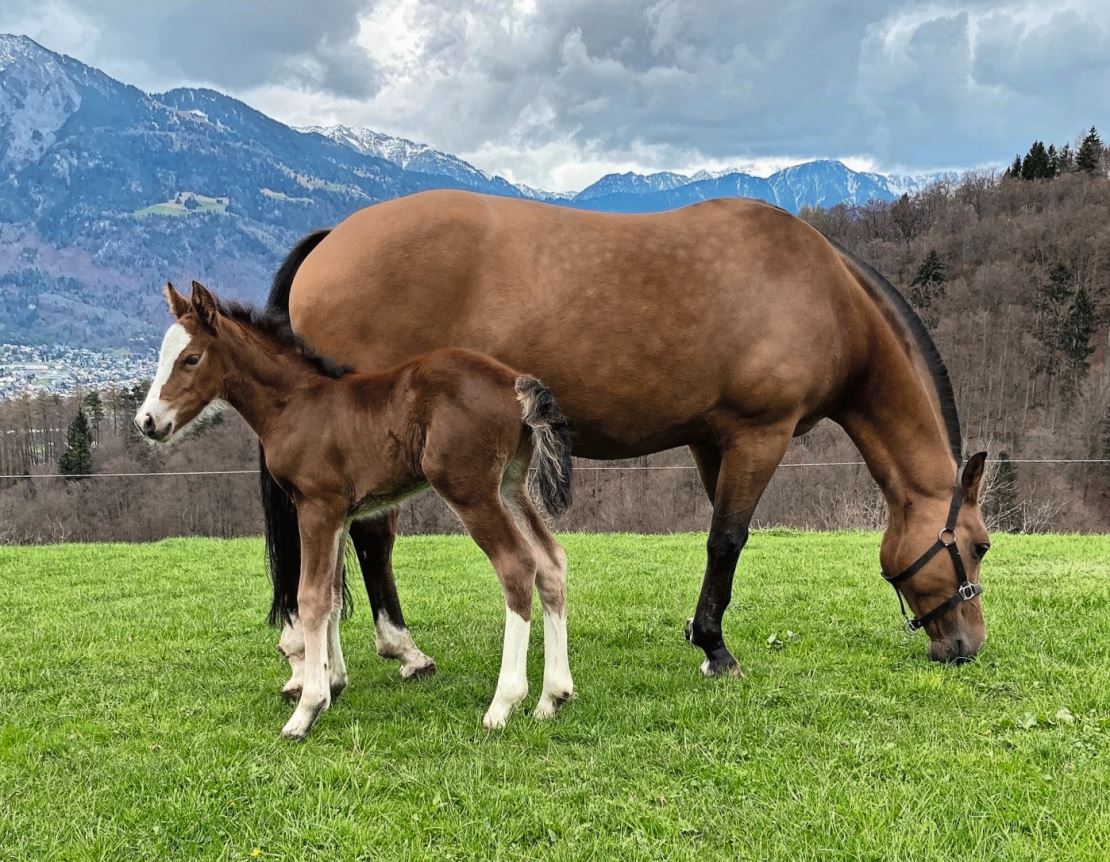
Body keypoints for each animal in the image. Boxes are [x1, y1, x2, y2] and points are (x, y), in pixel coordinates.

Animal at [135, 282, 577, 741]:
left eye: (190, 358)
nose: (147, 421)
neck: (294, 404)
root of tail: (515, 382)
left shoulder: (316, 506)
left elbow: (310, 597)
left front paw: (306, 710)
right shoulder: (341, 515)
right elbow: (331, 596)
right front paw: (332, 683)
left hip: (470, 490)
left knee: (517, 565)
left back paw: (503, 704)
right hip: (510, 486)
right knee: (551, 561)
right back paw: (552, 697)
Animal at [259, 189, 990, 678]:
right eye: (978, 547)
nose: (967, 646)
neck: (822, 293)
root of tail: (334, 238)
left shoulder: (712, 440)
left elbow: (718, 539)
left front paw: (701, 631)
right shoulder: (761, 435)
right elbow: (728, 539)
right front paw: (716, 648)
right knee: (372, 537)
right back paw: (400, 648)